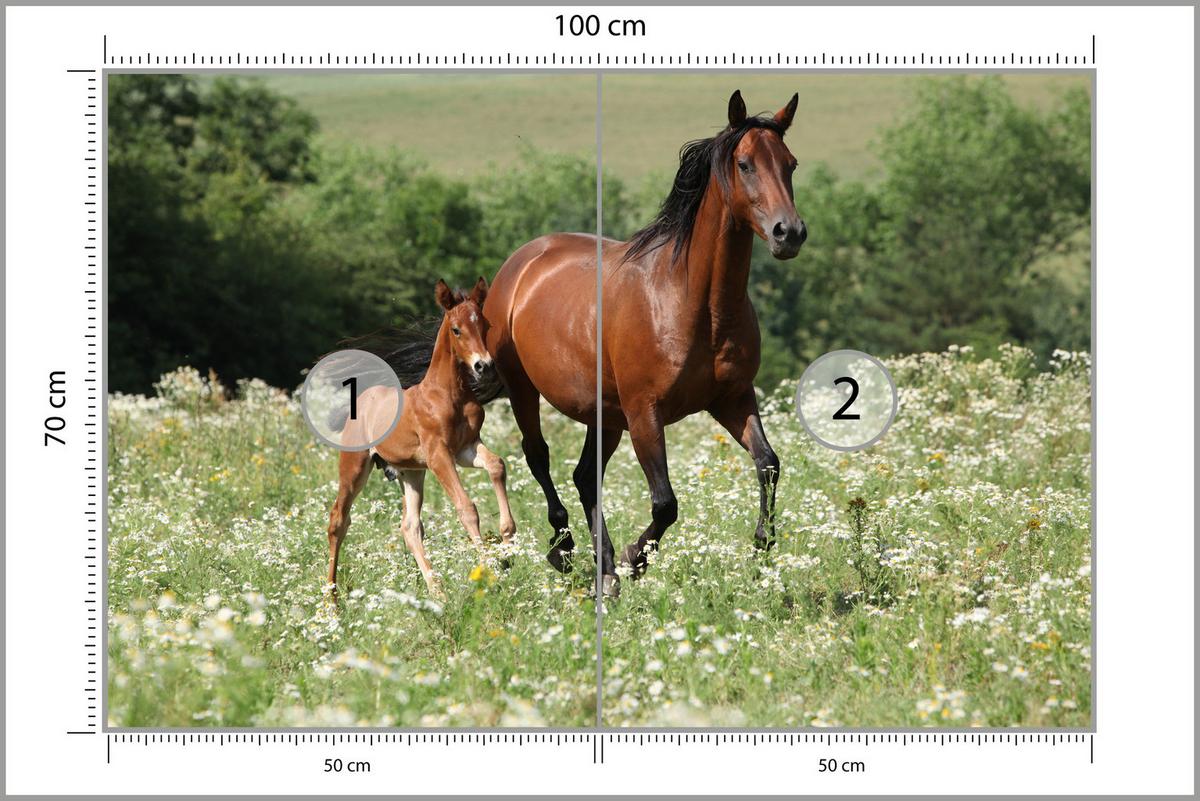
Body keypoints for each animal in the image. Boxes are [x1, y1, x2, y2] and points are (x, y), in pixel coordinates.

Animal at [324, 278, 516, 597]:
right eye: (456, 329)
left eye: (485, 325)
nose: (484, 366)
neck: (447, 394)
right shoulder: (439, 455)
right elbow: (466, 507)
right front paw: (489, 572)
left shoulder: (466, 448)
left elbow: (496, 465)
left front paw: (508, 538)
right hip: (355, 465)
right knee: (338, 519)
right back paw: (331, 599)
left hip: (411, 473)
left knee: (410, 526)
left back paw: (437, 590)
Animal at [483, 90, 806, 597]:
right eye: (745, 164)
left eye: (790, 164)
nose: (788, 233)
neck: (694, 302)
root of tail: (521, 263)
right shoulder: (645, 414)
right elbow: (665, 503)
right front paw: (636, 558)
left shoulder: (733, 399)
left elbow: (768, 462)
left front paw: (762, 541)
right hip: (525, 390)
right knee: (539, 456)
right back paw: (566, 550)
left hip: (604, 413)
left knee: (585, 477)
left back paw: (604, 569)